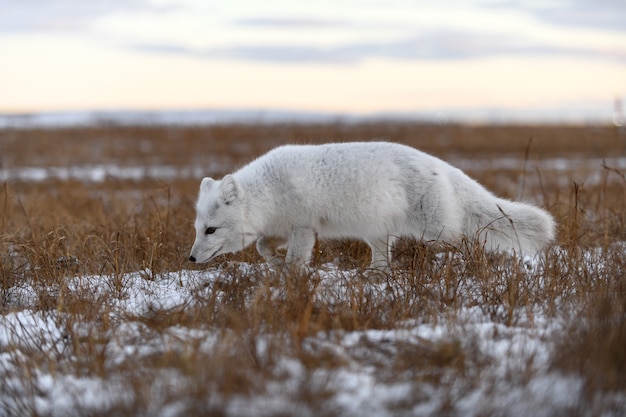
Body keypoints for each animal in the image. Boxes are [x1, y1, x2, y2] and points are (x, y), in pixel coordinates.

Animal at [188, 141, 552, 268]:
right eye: (197, 228)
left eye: (211, 230)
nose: (189, 258)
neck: (268, 191)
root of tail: (443, 166)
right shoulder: (281, 227)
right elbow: (263, 246)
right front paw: (275, 263)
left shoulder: (303, 227)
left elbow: (294, 258)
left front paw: (290, 276)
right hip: (378, 234)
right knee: (383, 260)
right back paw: (374, 276)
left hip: (437, 232)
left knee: (465, 240)